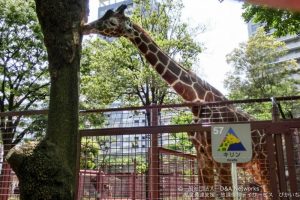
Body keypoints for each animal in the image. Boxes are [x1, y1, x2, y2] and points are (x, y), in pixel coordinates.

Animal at [83, 4, 270, 198]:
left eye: (112, 22)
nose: (85, 27)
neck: (197, 102)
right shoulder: (202, 156)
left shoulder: (221, 158)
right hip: (255, 168)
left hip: (265, 164)